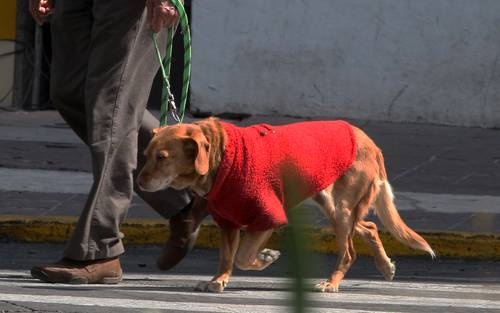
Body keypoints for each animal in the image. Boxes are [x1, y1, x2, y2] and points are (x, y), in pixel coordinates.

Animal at [137, 117, 434, 292]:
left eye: (162, 157)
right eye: (146, 154)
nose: (138, 183)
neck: (221, 157)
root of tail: (369, 142)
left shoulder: (267, 216)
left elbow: (243, 257)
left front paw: (265, 258)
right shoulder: (228, 223)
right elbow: (226, 257)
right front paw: (218, 280)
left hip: (342, 209)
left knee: (349, 251)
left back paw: (332, 283)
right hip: (331, 204)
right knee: (370, 227)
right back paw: (385, 266)